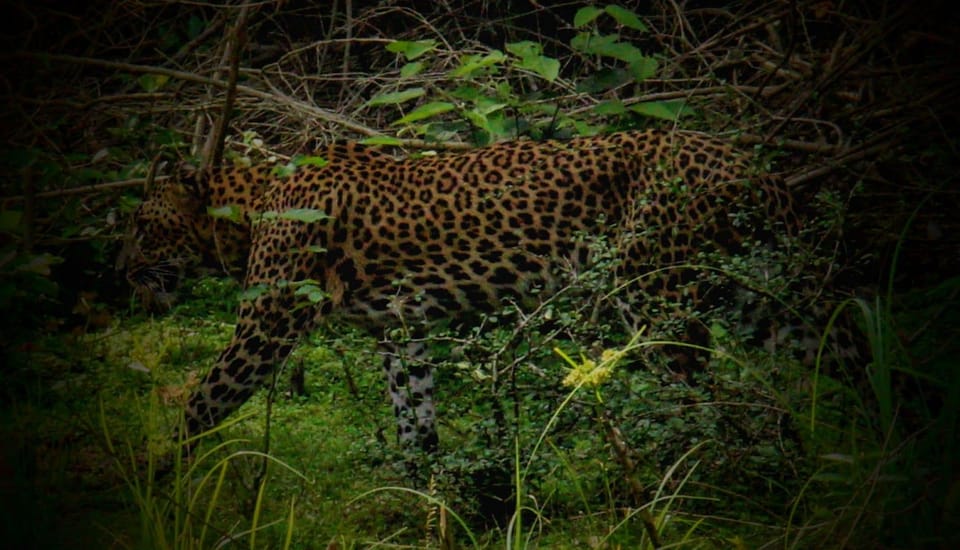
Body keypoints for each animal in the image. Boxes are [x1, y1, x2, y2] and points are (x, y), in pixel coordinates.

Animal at [120, 132, 816, 454]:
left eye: (143, 224)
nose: (121, 272)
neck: (252, 202)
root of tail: (750, 165)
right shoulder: (399, 328)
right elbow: (414, 413)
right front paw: (424, 487)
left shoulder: (265, 324)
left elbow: (205, 401)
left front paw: (157, 480)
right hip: (760, 298)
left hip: (654, 294)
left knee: (709, 403)